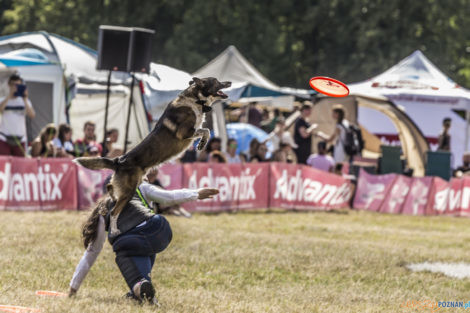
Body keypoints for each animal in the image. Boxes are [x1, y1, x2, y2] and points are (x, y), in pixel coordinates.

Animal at [75, 77, 231, 235]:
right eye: (216, 81)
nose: (229, 82)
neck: (195, 100)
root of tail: (119, 160)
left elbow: (205, 130)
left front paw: (201, 143)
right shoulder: (185, 132)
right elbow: (205, 130)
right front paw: (202, 143)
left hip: (131, 184)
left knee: (109, 186)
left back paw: (112, 196)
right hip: (129, 191)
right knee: (114, 212)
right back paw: (115, 230)